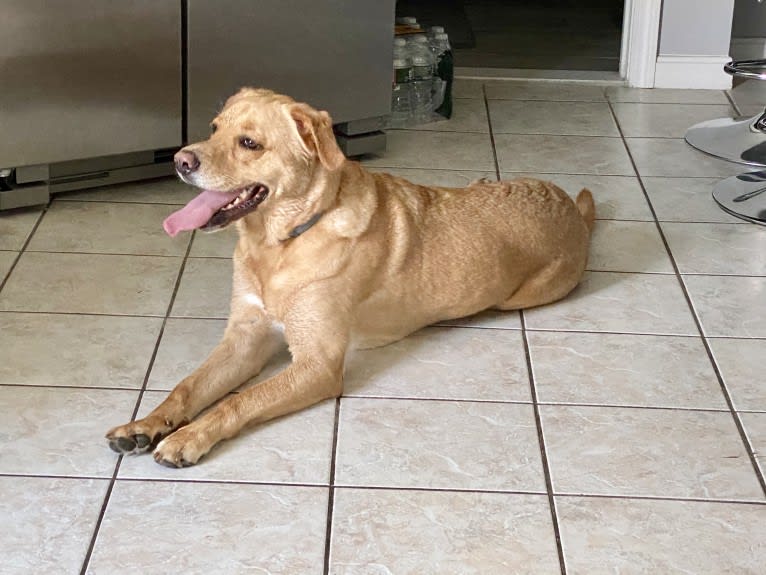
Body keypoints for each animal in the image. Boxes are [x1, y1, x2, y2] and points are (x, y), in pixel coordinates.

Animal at [106, 89, 600, 468]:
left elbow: (237, 400)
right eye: (213, 127)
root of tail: (571, 208)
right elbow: (187, 386)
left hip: (524, 295)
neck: (279, 244)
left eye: (249, 143)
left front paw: (187, 437)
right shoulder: (245, 338)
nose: (180, 160)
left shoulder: (317, 364)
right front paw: (145, 423)